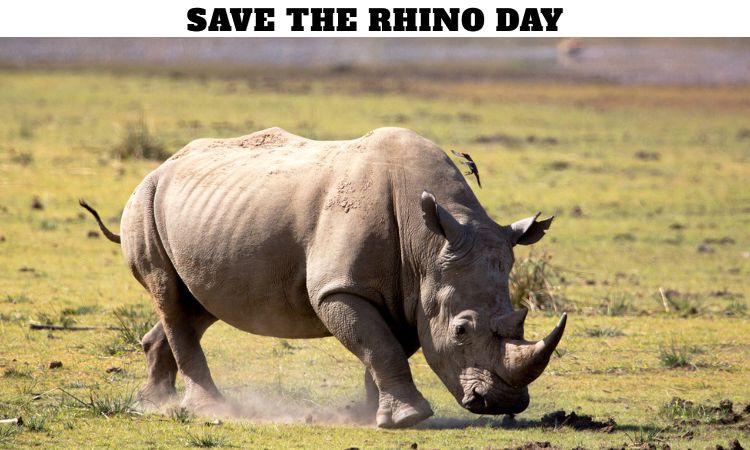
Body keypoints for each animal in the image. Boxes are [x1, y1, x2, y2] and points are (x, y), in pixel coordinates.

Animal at [81, 127, 566, 428]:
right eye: (462, 330)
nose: (502, 403)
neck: (428, 245)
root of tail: (161, 165)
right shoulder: (341, 288)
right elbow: (380, 346)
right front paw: (408, 419)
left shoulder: (410, 294)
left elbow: (385, 348)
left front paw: (372, 415)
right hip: (144, 200)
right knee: (171, 296)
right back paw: (207, 408)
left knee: (196, 303)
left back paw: (152, 404)